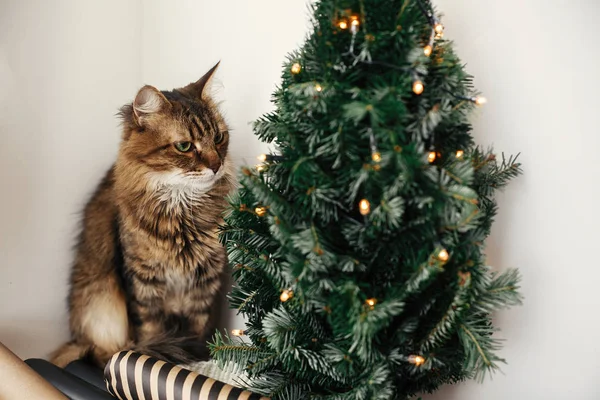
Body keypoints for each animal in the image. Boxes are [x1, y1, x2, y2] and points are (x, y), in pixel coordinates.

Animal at [51, 64, 234, 368]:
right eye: (184, 146)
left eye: (219, 138)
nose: (217, 165)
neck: (181, 211)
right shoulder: (142, 283)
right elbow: (150, 332)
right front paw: (154, 356)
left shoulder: (204, 283)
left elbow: (196, 329)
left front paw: (195, 357)